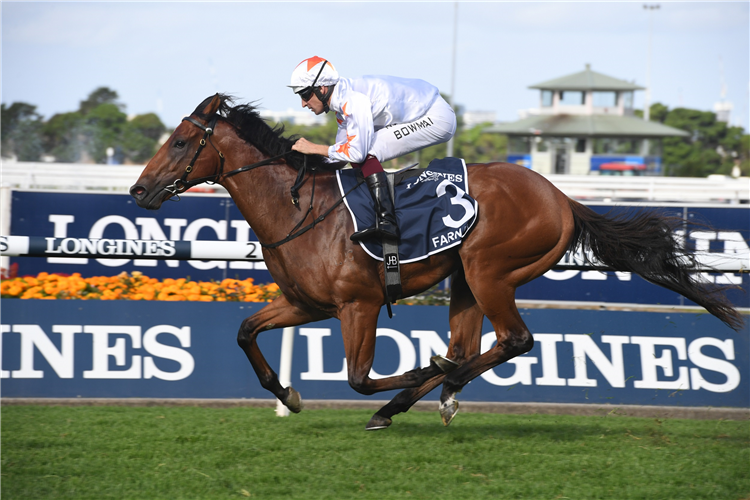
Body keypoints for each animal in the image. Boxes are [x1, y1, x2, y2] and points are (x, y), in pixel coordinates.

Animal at [131, 94, 748, 430]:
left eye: (181, 142)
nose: (138, 191)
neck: (300, 208)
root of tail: (561, 198)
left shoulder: (358, 305)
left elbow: (358, 378)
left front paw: (409, 378)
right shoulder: (307, 304)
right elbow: (244, 330)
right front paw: (288, 394)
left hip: (489, 269)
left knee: (513, 340)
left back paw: (425, 389)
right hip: (467, 280)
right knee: (474, 346)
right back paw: (434, 392)